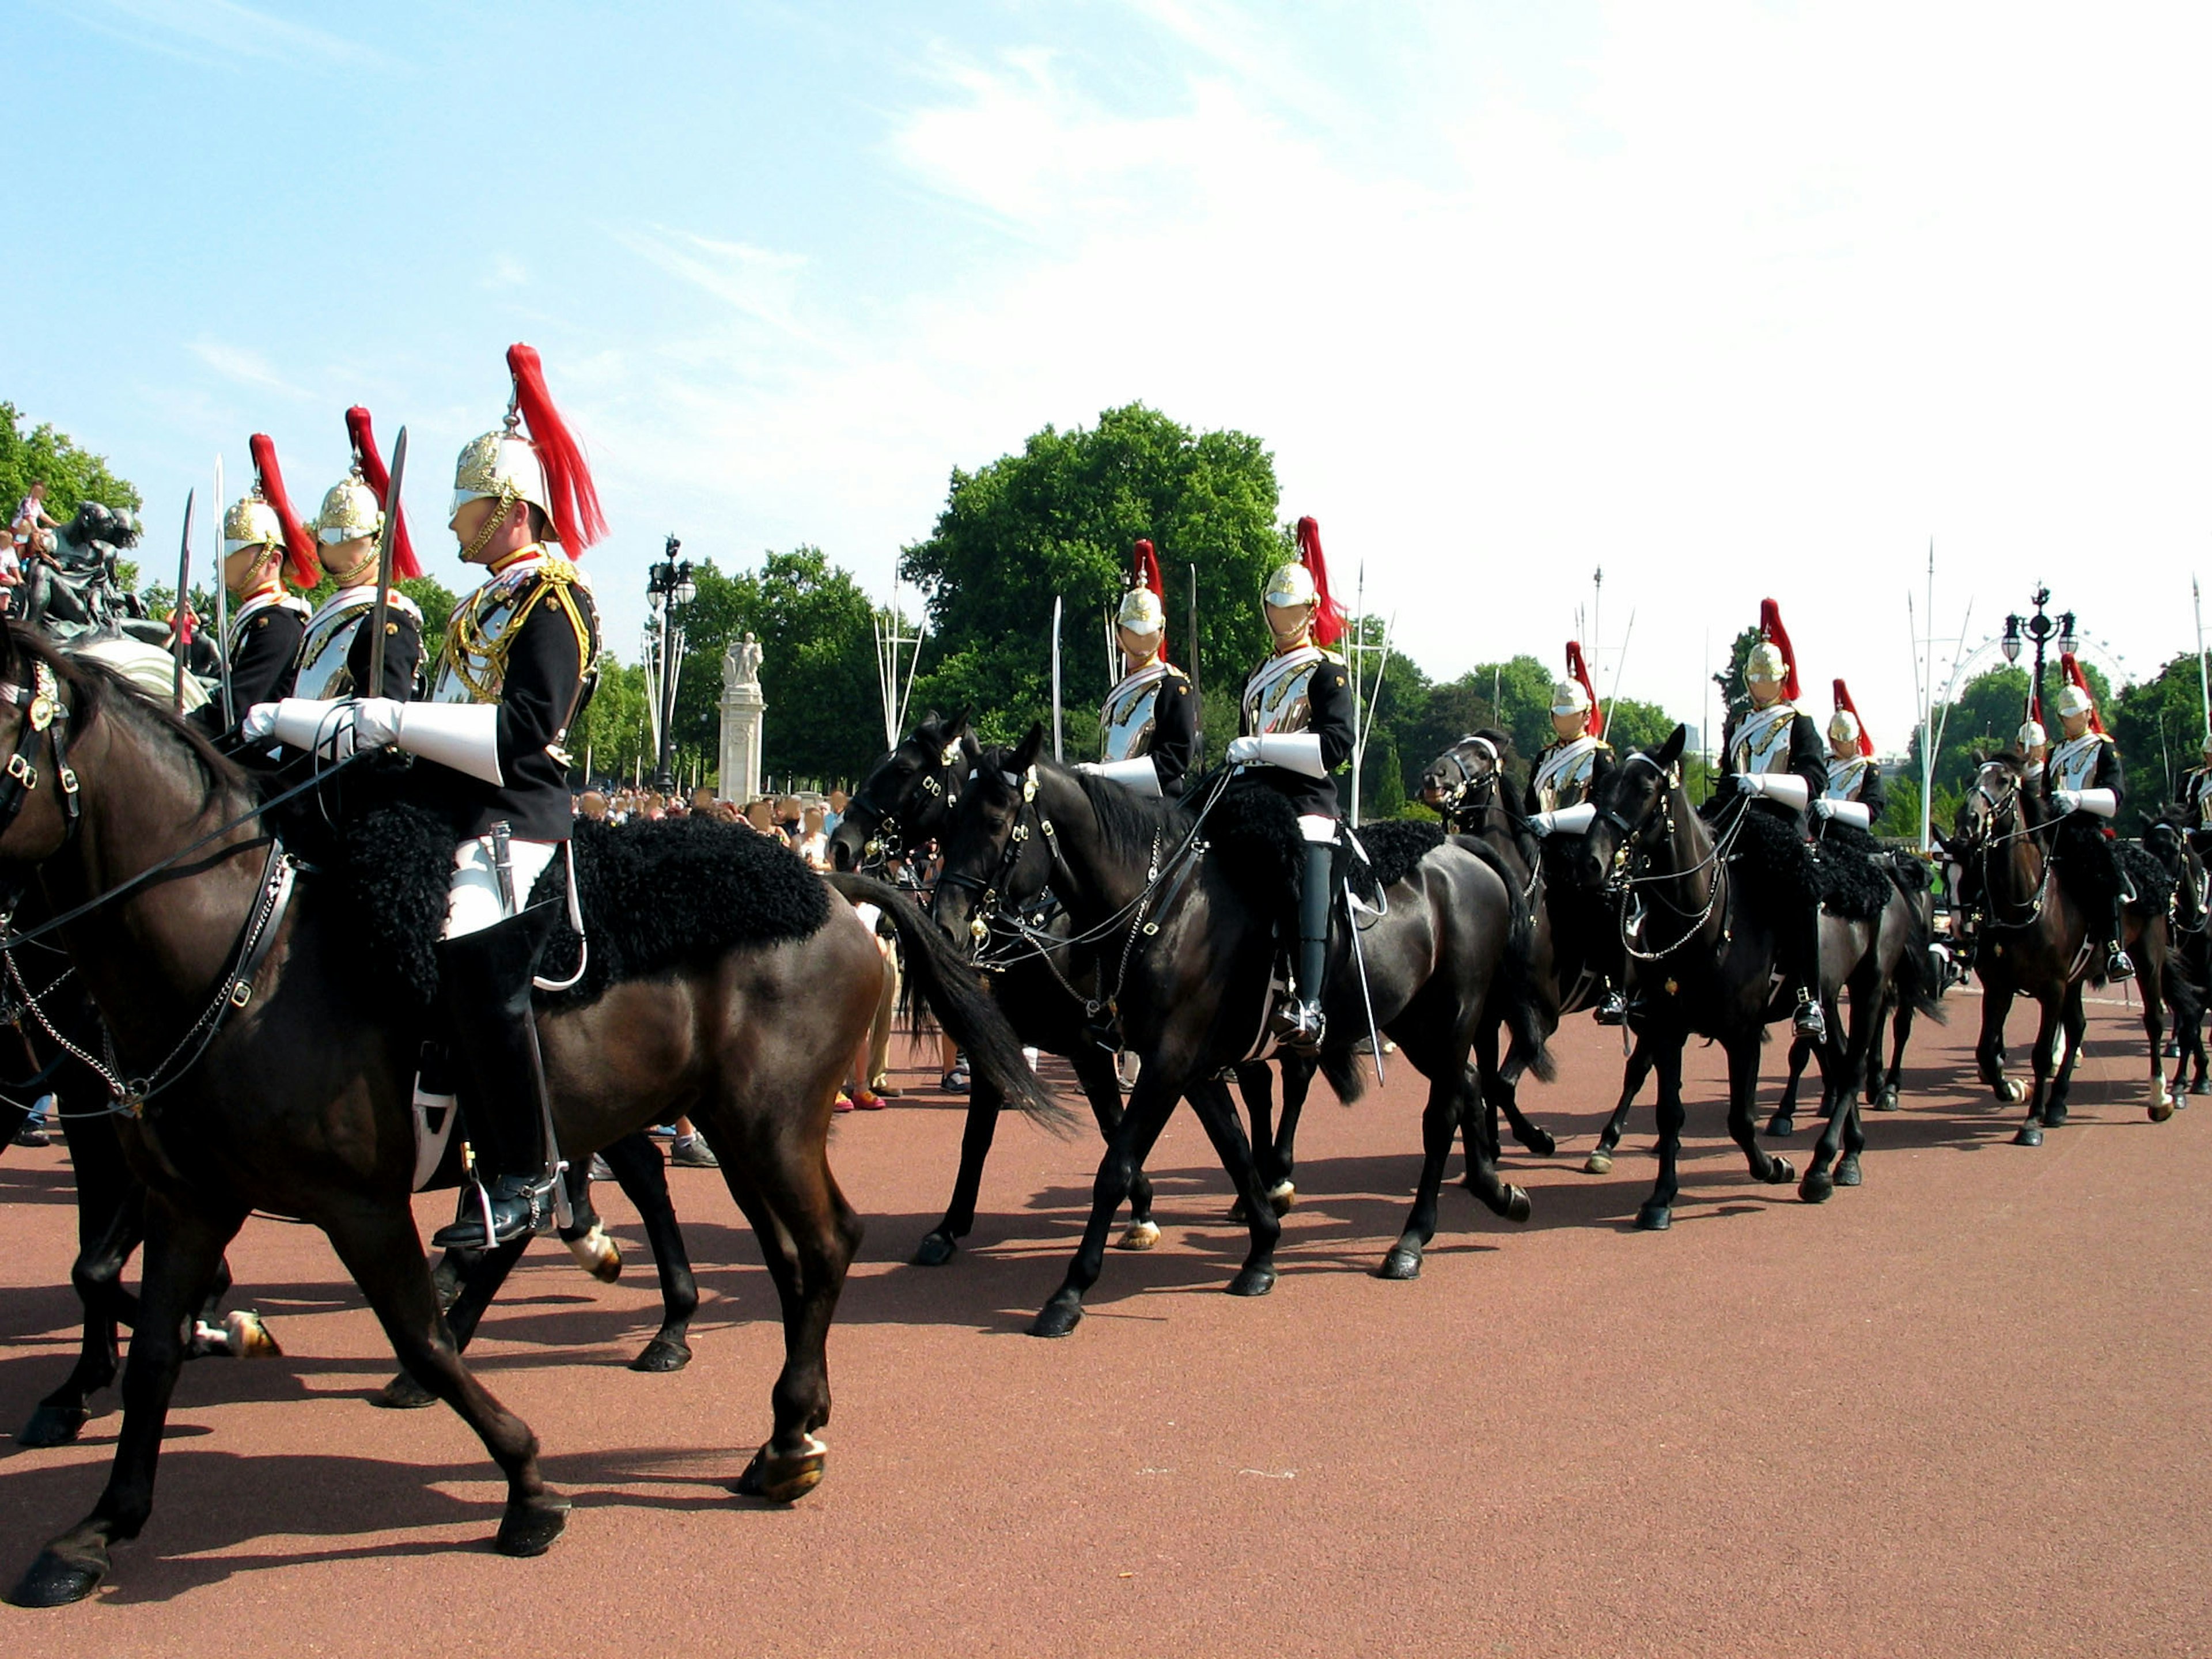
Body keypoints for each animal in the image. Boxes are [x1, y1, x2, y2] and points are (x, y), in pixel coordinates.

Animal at [0, 628, 1052, 1610]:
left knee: (826, 1241)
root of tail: (831, 890)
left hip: (766, 1121)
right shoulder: (188, 1197)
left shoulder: (357, 1202)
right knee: (780, 1250)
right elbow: (151, 1351)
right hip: (719, 1120)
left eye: (6, 736)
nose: (847, 832)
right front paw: (97, 1526)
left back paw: (781, 1426)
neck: (243, 956)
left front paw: (528, 1485)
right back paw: (776, 1422)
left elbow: (417, 1337)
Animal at [933, 730, 1557, 1336]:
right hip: (1415, 1022)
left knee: (1440, 1114)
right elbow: (1233, 1148)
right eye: (950, 815)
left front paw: (1069, 1293)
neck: (1162, 905)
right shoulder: (1190, 1067)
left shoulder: (1165, 1065)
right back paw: (1496, 1190)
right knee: (1467, 1085)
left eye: (995, 820)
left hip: (1452, 1017)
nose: (945, 927)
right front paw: (1261, 1253)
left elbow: (1116, 1168)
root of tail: (1461, 850)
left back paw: (1412, 1241)